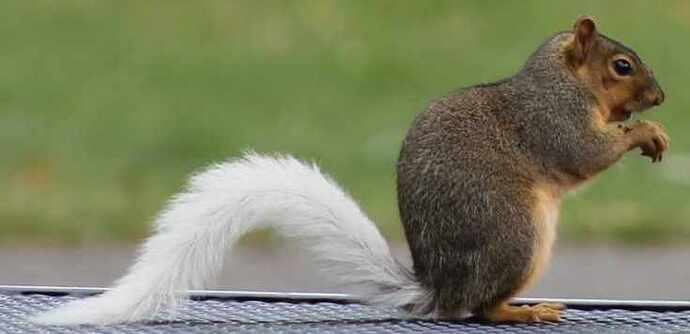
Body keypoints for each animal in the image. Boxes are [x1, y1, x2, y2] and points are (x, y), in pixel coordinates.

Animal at [32, 16, 668, 326]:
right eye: (622, 65)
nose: (659, 96)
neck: (562, 80)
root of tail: (440, 284)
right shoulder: (551, 119)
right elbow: (583, 153)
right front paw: (645, 133)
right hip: (517, 237)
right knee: (479, 309)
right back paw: (522, 309)